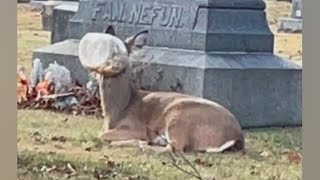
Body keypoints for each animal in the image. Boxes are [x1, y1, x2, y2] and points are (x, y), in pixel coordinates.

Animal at [78, 25, 245, 153]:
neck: (118, 111)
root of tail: (237, 137)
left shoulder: (136, 127)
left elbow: (101, 135)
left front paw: (140, 141)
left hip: (179, 117)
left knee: (173, 148)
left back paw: (144, 144)